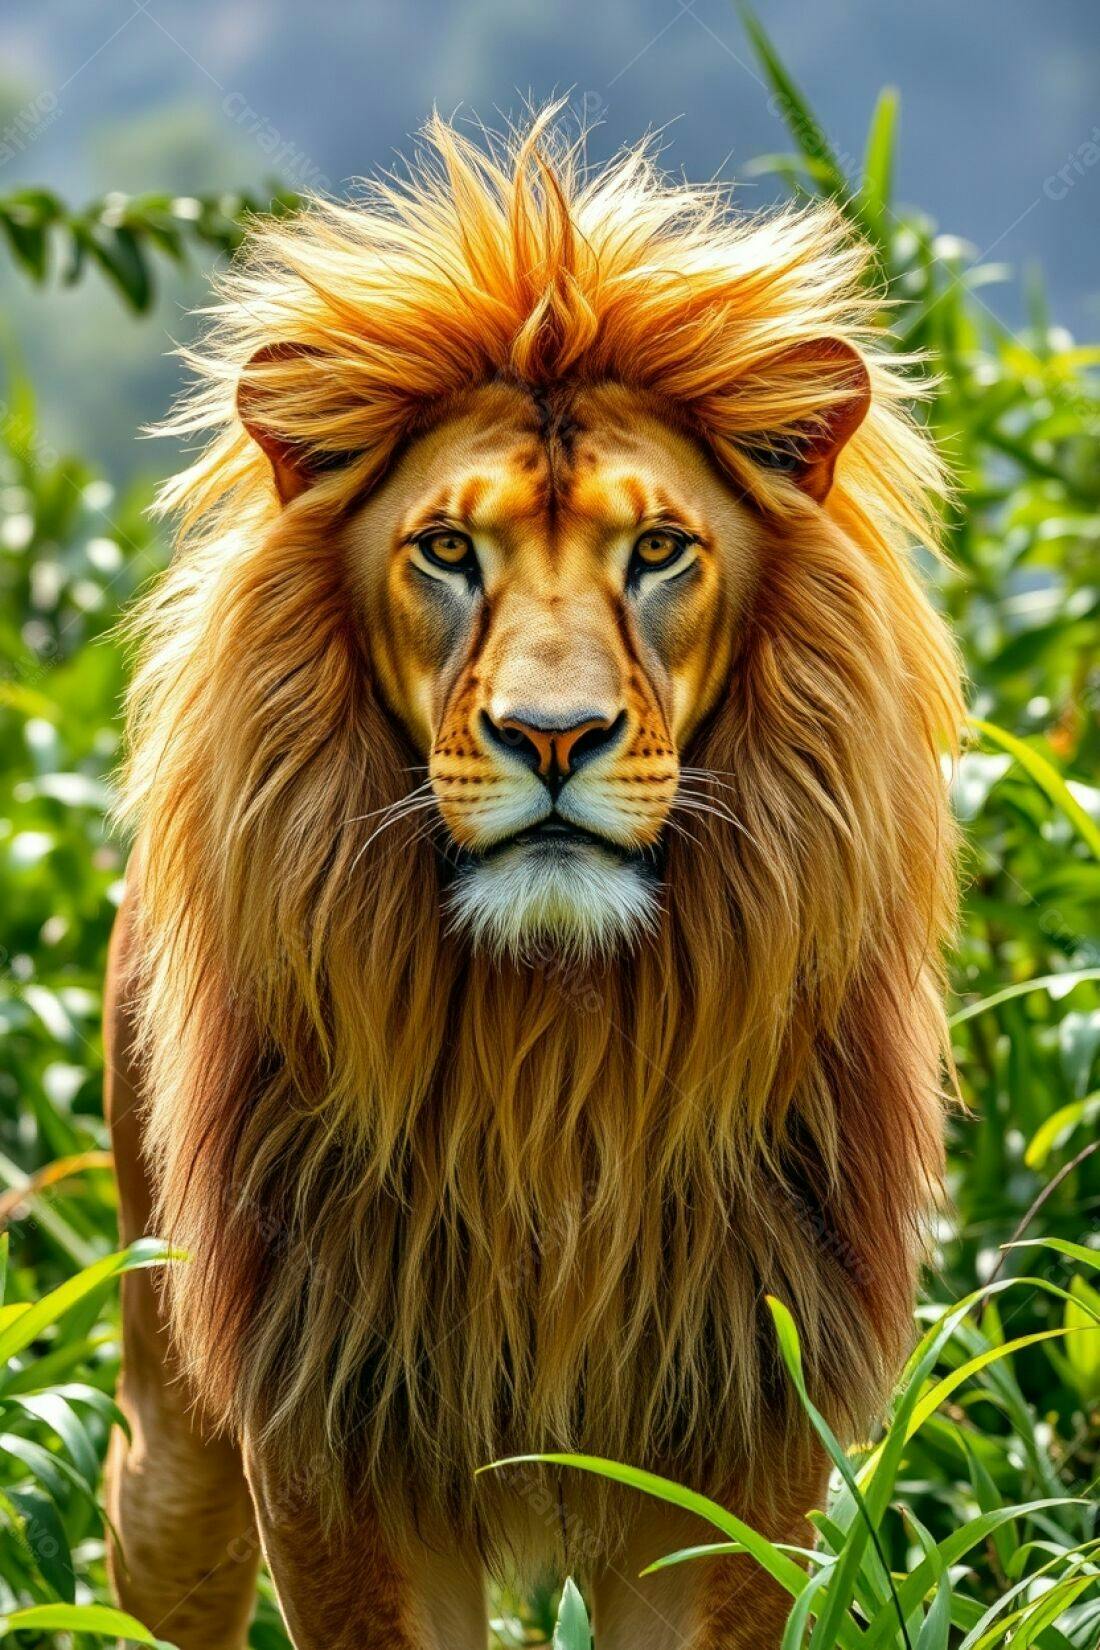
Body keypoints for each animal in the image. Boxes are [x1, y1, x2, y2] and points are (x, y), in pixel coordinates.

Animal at [103, 110, 962, 1650]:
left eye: (659, 549)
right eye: (448, 549)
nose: (552, 736)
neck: (553, 1054)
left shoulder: (734, 1420)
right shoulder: (334, 1422)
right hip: (173, 1428)